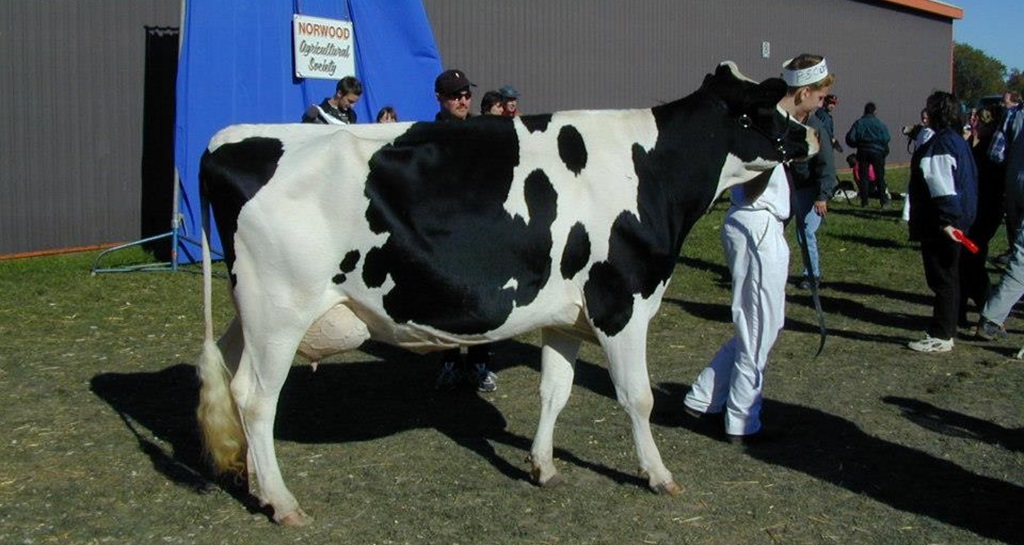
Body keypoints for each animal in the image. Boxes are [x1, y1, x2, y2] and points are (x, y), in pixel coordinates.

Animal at [194, 62, 818, 526]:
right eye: (766, 106)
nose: (810, 135)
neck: (653, 170)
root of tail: (226, 140)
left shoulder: (567, 316)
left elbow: (554, 392)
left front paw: (543, 467)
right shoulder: (622, 303)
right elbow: (637, 398)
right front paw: (659, 475)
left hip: (250, 313)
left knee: (229, 373)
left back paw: (256, 486)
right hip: (280, 310)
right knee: (256, 398)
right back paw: (283, 503)